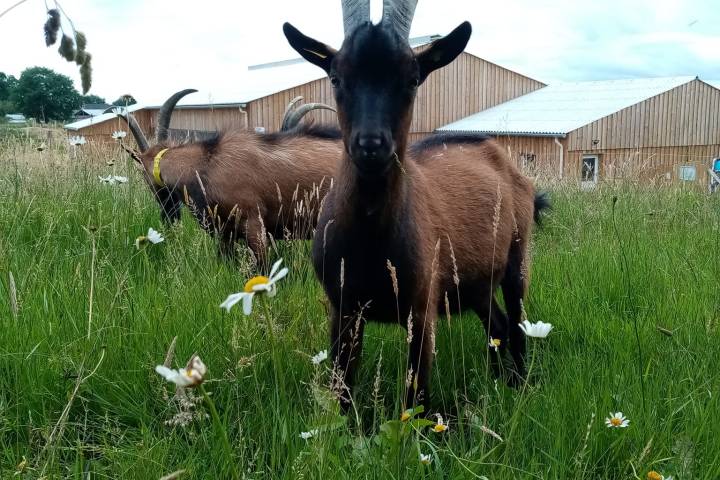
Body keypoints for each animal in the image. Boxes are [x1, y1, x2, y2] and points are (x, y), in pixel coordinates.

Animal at [284, 0, 549, 410]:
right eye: (336, 77)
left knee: (517, 324)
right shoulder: (343, 308)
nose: (371, 145)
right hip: (474, 282)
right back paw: (497, 382)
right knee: (498, 325)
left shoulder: (421, 310)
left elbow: (415, 399)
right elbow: (343, 391)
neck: (370, 239)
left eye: (412, 79)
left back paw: (517, 386)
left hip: (516, 259)